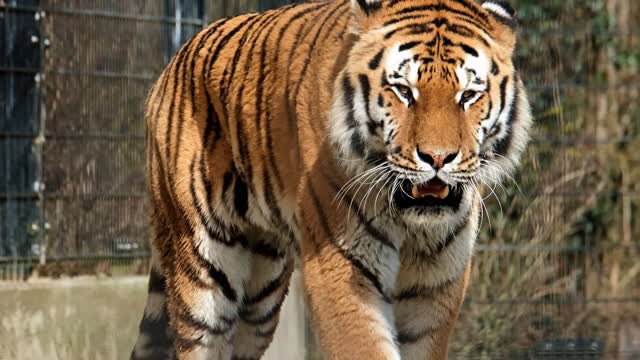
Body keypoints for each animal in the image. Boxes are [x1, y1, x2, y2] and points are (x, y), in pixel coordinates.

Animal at [129, 0, 528, 358]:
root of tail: (173, 62)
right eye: (403, 91)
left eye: (469, 95)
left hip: (261, 294)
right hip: (205, 277)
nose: (438, 158)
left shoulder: (436, 285)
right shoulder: (341, 268)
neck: (413, 225)